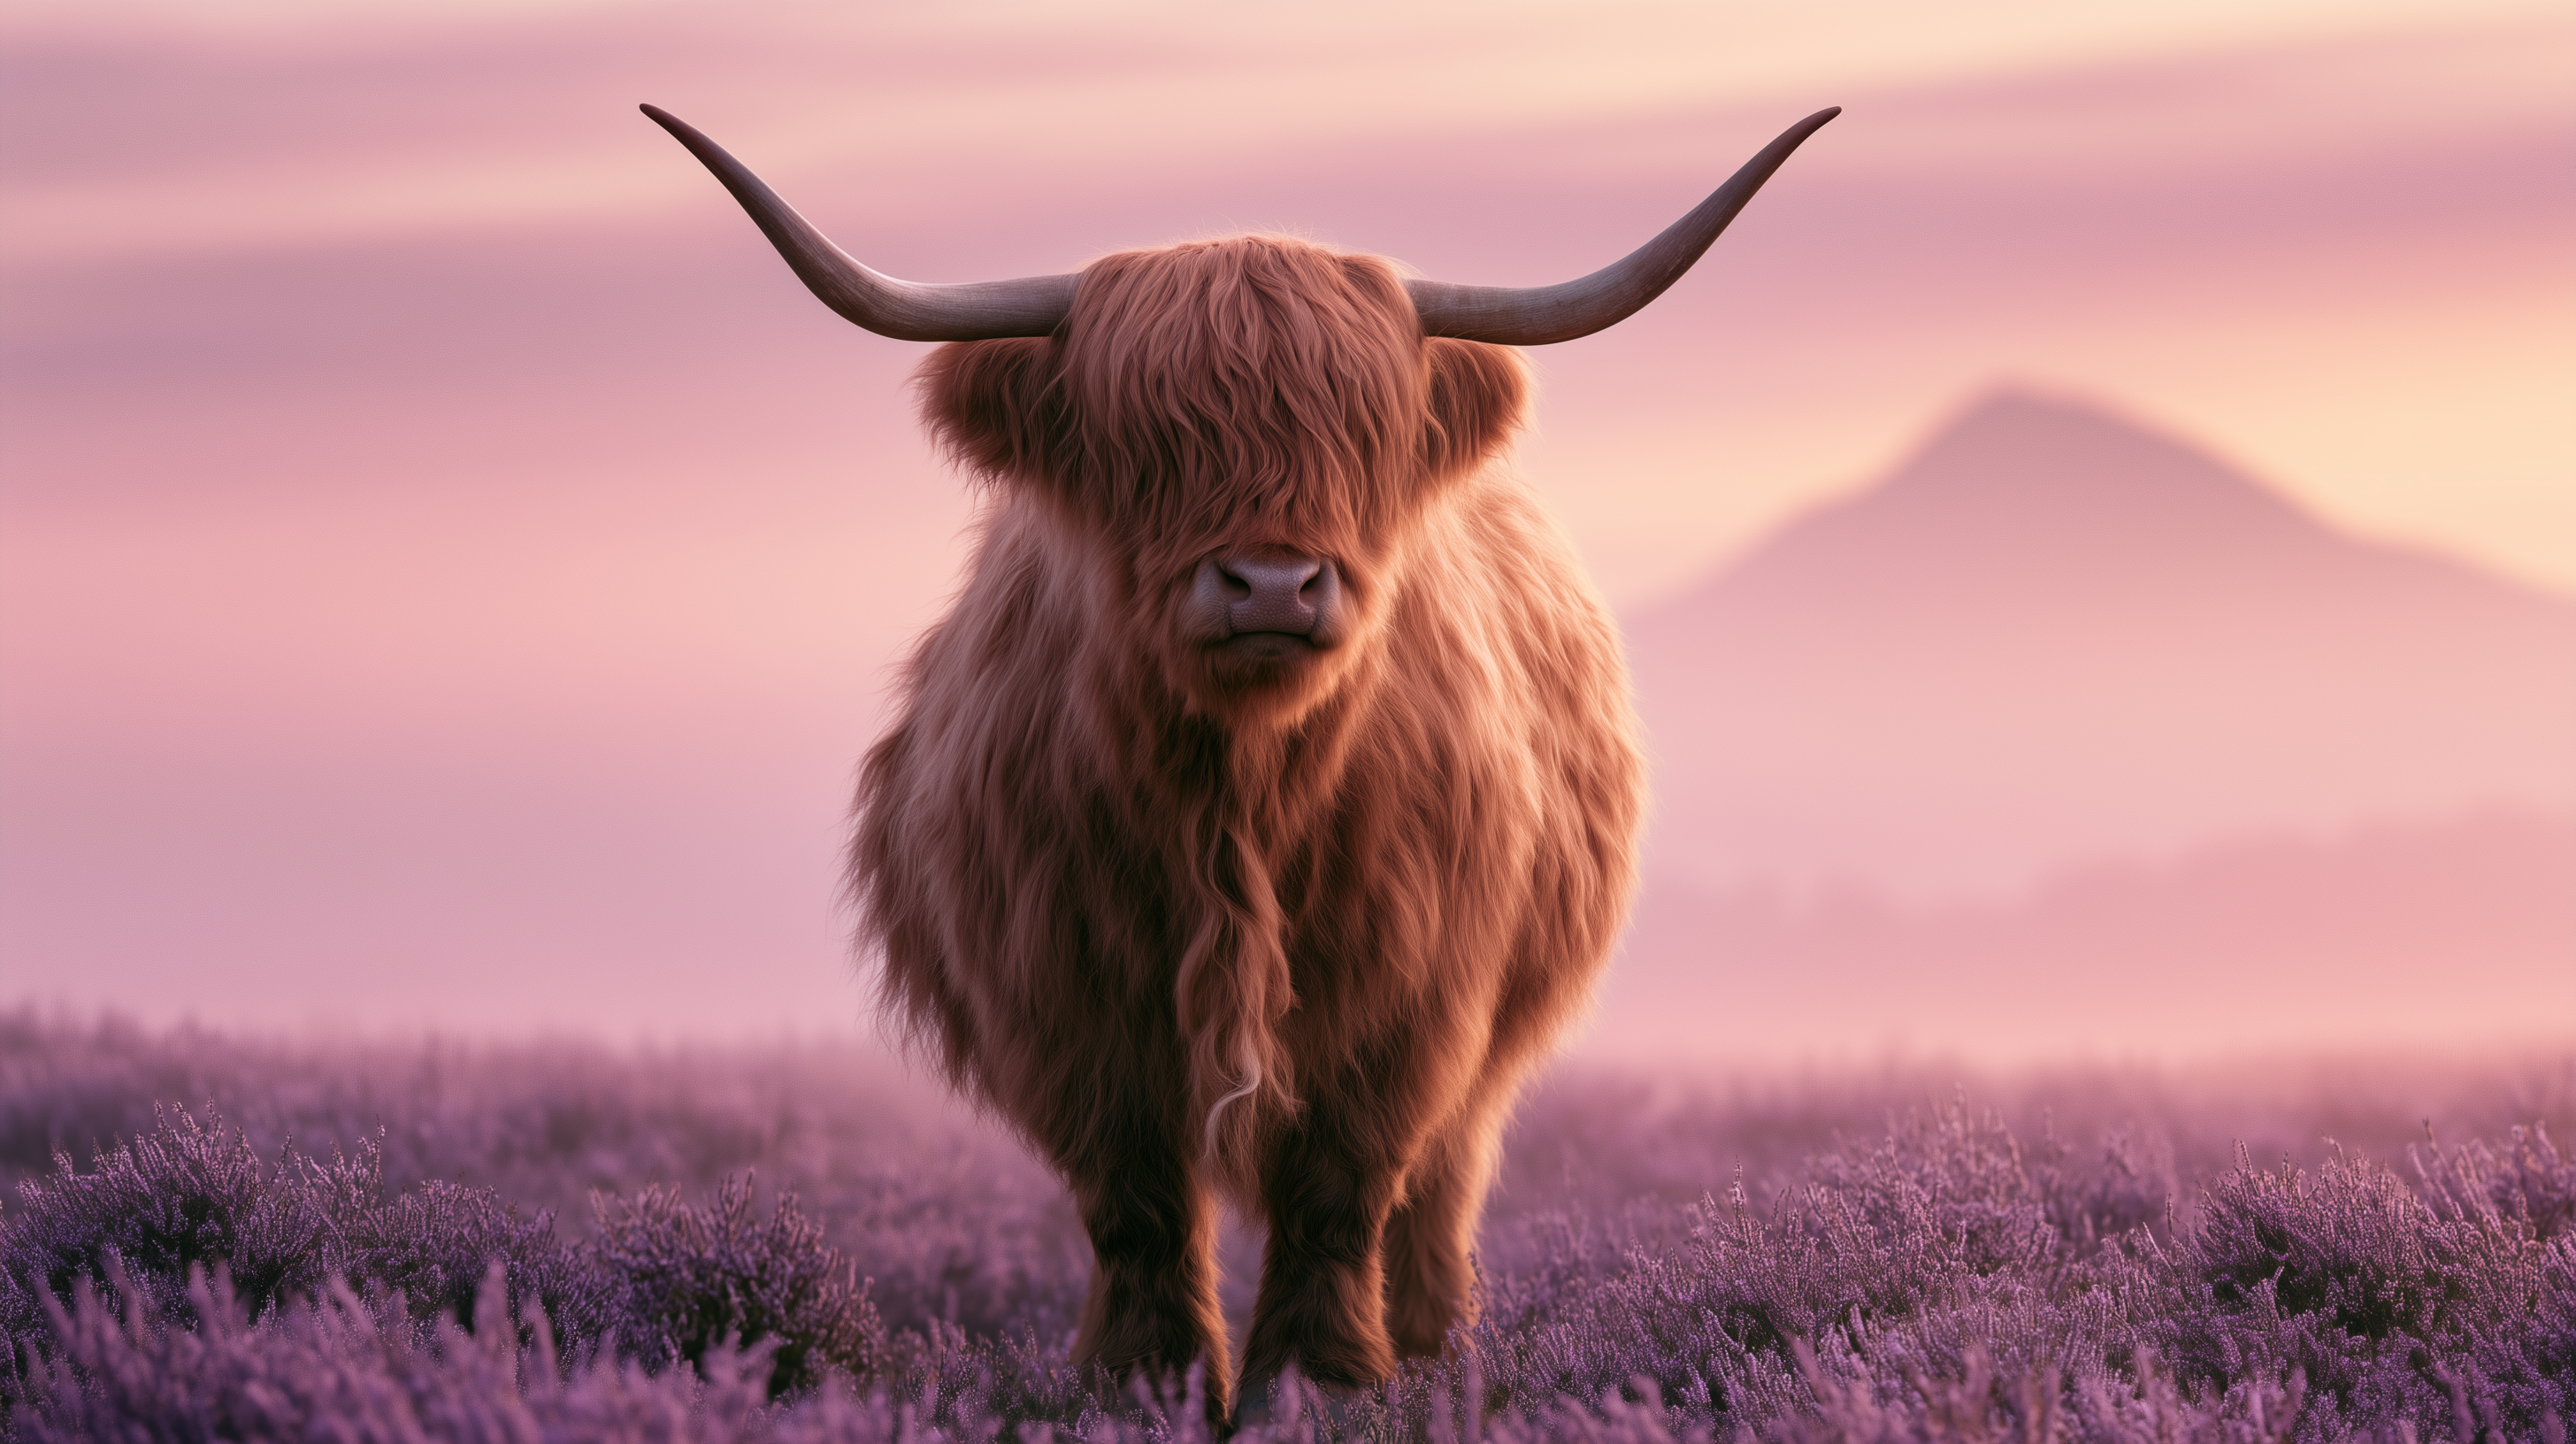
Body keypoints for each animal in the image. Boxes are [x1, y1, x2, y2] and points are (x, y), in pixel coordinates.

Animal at [643, 102, 1835, 1422]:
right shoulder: (1069, 1002)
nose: (1272, 584)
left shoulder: (1408, 998)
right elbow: (1138, 1204)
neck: (1239, 795)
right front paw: (1142, 1384)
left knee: (1443, 1184)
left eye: (1359, 434)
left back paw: (1440, 1351)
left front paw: (1320, 1386)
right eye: (1147, 439)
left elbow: (1341, 1190)